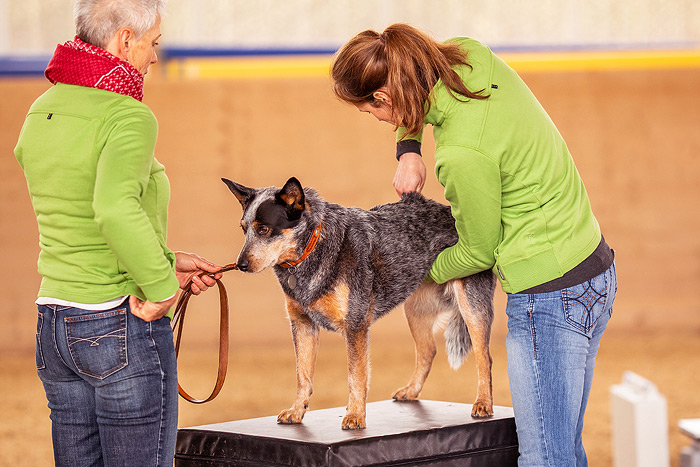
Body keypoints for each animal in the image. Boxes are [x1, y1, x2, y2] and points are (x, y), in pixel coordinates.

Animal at [221, 178, 494, 432]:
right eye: (244, 229)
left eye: (264, 229)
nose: (240, 265)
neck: (314, 245)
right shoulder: (302, 325)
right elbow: (303, 376)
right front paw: (297, 411)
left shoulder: (355, 325)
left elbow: (356, 376)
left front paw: (354, 416)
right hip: (415, 309)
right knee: (428, 350)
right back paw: (411, 391)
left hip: (471, 306)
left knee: (484, 357)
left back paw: (483, 403)